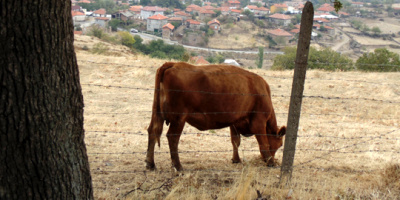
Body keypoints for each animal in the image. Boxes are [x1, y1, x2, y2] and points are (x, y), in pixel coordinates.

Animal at [145, 61, 286, 170]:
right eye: (280, 145)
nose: (273, 159)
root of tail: (173, 64)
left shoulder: (234, 122)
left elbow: (235, 141)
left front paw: (236, 159)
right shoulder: (259, 122)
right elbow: (263, 143)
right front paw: (270, 162)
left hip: (158, 114)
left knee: (153, 131)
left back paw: (150, 164)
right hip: (179, 118)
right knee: (173, 138)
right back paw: (178, 166)